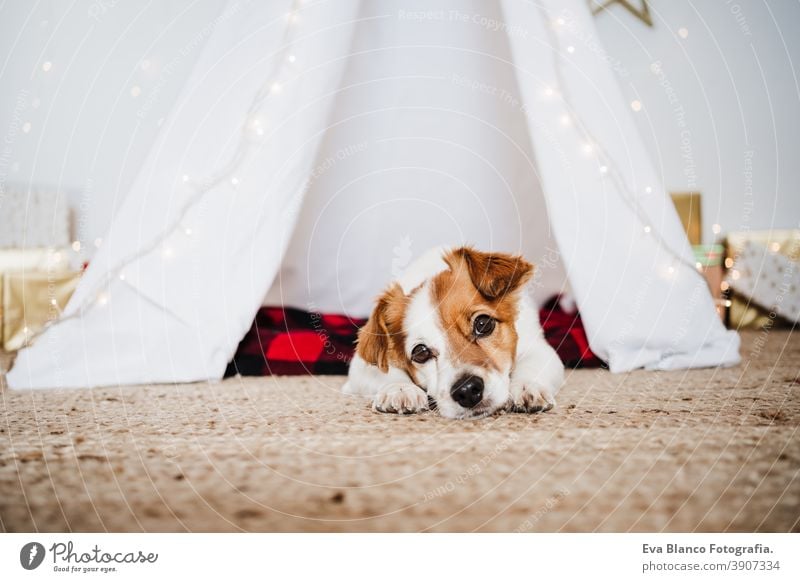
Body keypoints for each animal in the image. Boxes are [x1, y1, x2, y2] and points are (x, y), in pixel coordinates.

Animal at [342, 246, 564, 420]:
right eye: (420, 352)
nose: (467, 390)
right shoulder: (360, 366)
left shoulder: (539, 347)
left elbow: (531, 364)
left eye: (483, 324)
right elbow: (385, 372)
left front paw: (527, 386)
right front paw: (399, 388)